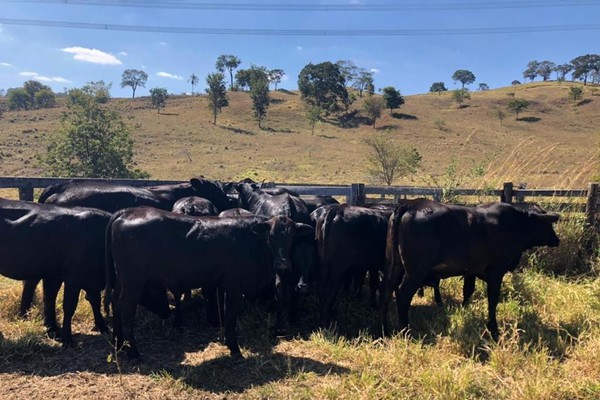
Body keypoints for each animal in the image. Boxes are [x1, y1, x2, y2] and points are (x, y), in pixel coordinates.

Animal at [103, 209, 312, 360]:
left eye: (291, 237)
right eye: (271, 235)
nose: (283, 263)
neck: (254, 241)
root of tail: (127, 212)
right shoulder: (234, 286)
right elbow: (230, 316)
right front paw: (234, 349)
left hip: (123, 280)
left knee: (115, 302)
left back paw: (119, 344)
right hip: (133, 282)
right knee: (125, 308)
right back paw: (134, 352)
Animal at [382, 199, 560, 338]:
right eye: (547, 224)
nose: (556, 240)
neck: (515, 224)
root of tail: (411, 204)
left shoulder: (471, 270)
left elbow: (468, 291)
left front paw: (464, 311)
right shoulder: (496, 272)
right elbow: (493, 299)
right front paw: (493, 329)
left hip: (395, 265)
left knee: (386, 290)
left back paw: (385, 328)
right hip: (415, 271)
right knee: (402, 293)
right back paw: (405, 331)